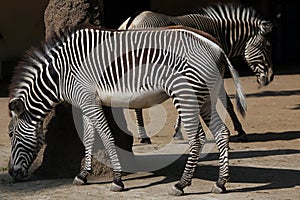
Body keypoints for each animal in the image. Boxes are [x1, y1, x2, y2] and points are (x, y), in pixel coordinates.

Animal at [8, 25, 246, 195]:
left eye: (10, 134)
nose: (11, 173)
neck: (60, 72)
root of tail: (216, 47)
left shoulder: (90, 101)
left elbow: (106, 136)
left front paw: (117, 179)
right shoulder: (84, 103)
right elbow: (88, 137)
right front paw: (83, 175)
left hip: (185, 94)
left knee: (197, 138)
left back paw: (181, 184)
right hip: (205, 96)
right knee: (221, 132)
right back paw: (221, 183)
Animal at [118, 3, 274, 144]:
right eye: (267, 47)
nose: (271, 77)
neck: (220, 33)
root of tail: (131, 22)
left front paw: (178, 131)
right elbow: (227, 102)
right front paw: (241, 131)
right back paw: (144, 137)